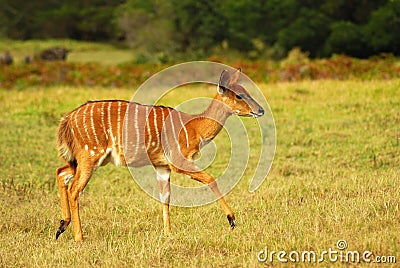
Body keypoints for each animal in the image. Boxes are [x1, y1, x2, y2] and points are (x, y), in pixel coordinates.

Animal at [54, 68, 264, 242]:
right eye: (239, 95)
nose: (260, 110)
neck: (194, 127)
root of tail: (67, 119)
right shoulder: (178, 161)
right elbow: (210, 179)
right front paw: (232, 219)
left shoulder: (162, 166)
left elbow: (165, 197)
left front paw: (168, 232)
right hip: (90, 155)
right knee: (75, 188)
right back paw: (79, 237)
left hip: (86, 159)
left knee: (61, 172)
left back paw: (61, 226)